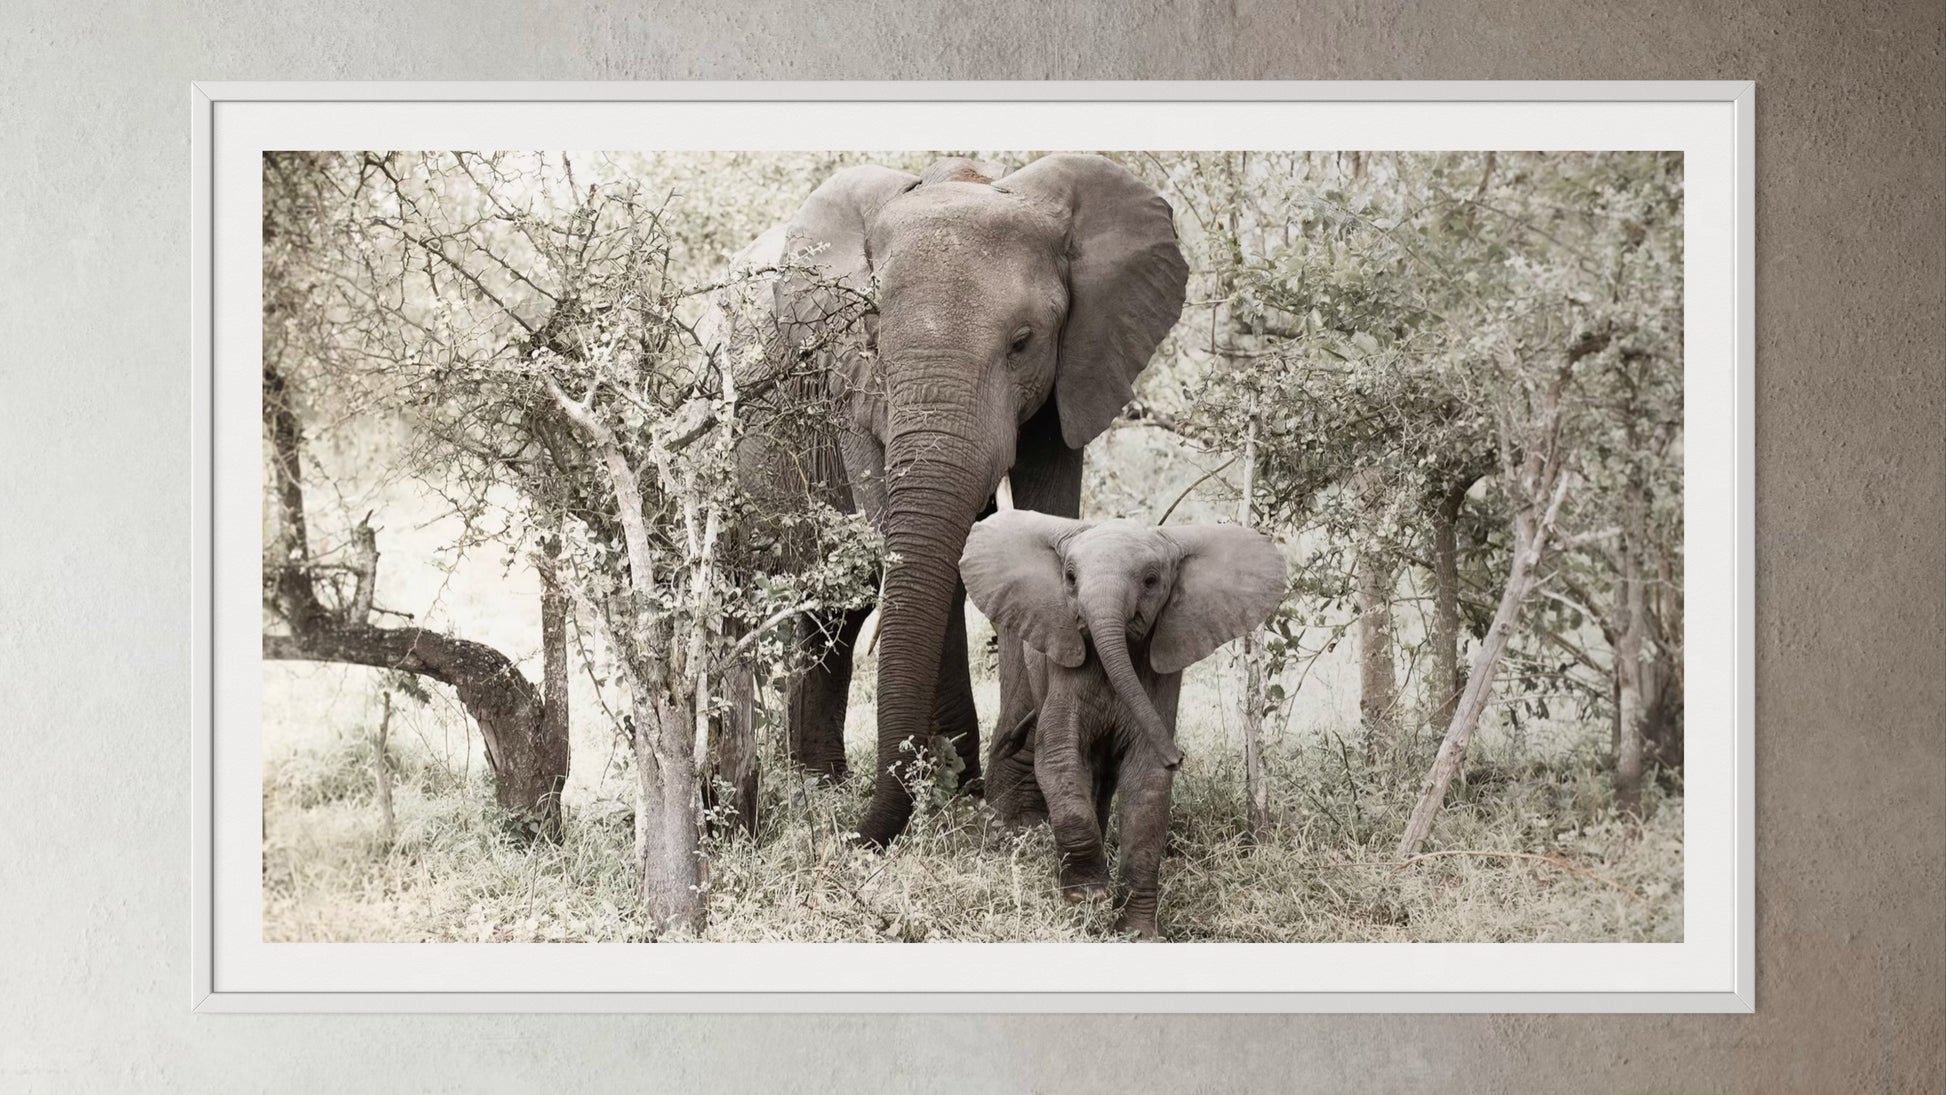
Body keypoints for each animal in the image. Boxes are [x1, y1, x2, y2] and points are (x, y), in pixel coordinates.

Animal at [728, 153, 1190, 848]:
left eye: (1024, 342)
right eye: (873, 341)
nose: (856, 841)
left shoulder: (1073, 373)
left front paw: (1017, 809)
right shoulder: (846, 386)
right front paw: (956, 788)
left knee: (837, 612)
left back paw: (823, 784)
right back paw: (821, 786)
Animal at [959, 511, 1287, 939]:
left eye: (1150, 580)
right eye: (1069, 577)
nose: (1177, 758)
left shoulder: (1160, 669)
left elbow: (1146, 779)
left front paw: (1136, 934)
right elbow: (1059, 754)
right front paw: (1088, 894)